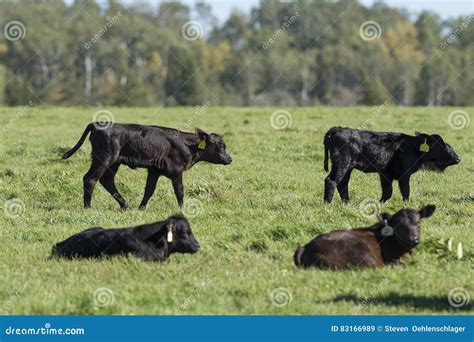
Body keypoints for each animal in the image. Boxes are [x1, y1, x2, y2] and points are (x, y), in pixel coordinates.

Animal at [62, 123, 232, 208]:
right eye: (220, 146)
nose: (229, 159)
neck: (187, 145)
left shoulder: (154, 171)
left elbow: (149, 190)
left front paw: (141, 208)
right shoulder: (177, 172)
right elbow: (180, 192)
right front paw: (183, 209)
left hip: (113, 162)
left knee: (107, 180)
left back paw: (125, 205)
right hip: (103, 159)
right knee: (90, 180)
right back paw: (88, 207)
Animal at [322, 127, 460, 203]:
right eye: (440, 144)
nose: (458, 158)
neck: (411, 147)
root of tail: (338, 129)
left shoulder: (385, 174)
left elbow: (387, 192)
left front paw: (380, 203)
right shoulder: (405, 174)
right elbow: (405, 192)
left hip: (348, 167)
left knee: (342, 184)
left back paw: (347, 204)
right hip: (342, 164)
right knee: (331, 181)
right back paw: (327, 204)